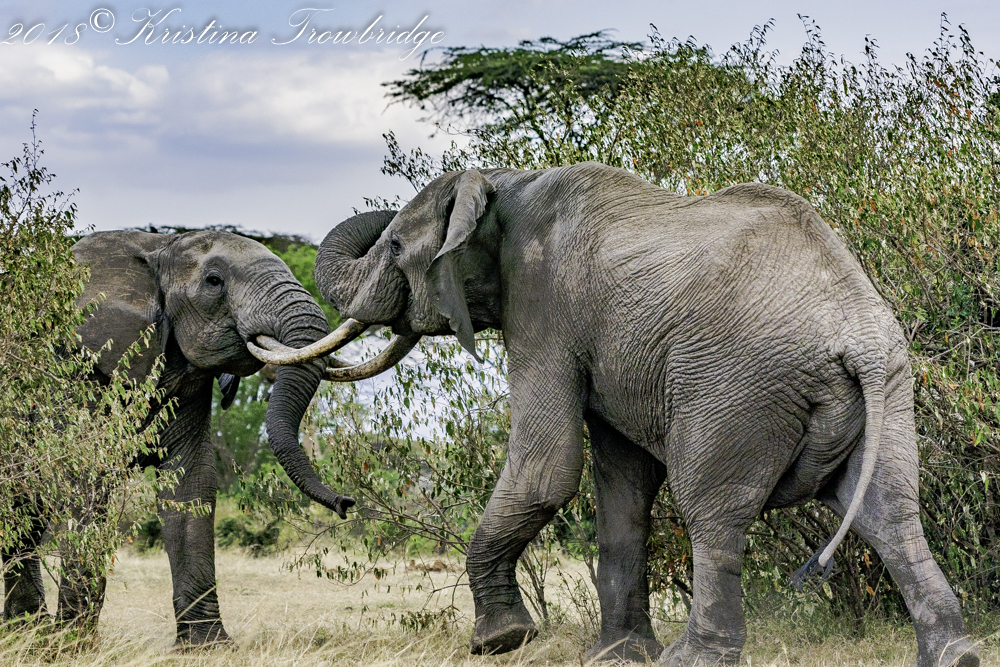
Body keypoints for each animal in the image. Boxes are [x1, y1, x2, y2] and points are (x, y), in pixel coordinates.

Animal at [2, 230, 355, 645]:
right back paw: (33, 632)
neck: (158, 247)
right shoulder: (71, 370)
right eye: (214, 282)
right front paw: (72, 645)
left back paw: (26, 629)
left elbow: (190, 482)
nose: (347, 503)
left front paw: (208, 647)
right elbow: (84, 480)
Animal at [251, 162, 980, 667]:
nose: (345, 503)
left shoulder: (542, 309)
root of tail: (856, 334)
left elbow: (549, 469)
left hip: (736, 388)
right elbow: (622, 481)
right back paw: (955, 655)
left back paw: (695, 659)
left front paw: (501, 642)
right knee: (891, 509)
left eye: (398, 246)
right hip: (891, 386)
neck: (503, 185)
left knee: (713, 510)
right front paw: (616, 656)